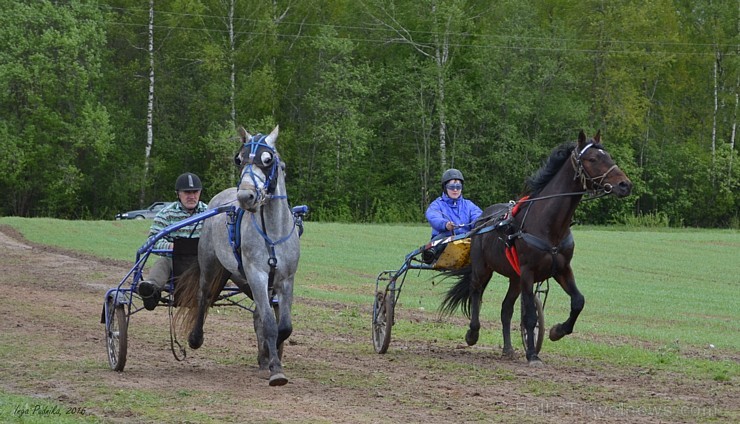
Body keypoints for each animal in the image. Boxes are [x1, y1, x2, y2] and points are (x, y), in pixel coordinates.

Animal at [175, 124, 300, 386]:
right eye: (238, 159)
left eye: (268, 159)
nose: (245, 197)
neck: (272, 234)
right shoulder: (257, 275)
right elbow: (270, 323)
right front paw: (275, 368)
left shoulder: (285, 279)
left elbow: (283, 327)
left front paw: (269, 355)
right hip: (211, 263)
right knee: (203, 296)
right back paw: (196, 337)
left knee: (257, 314)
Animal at [442, 130, 632, 364]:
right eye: (593, 159)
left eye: (609, 156)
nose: (625, 185)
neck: (549, 225)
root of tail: (481, 219)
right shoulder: (528, 272)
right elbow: (530, 316)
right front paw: (532, 353)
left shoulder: (562, 269)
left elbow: (578, 301)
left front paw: (557, 331)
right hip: (482, 268)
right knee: (476, 293)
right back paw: (472, 333)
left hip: (514, 278)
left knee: (506, 309)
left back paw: (508, 349)